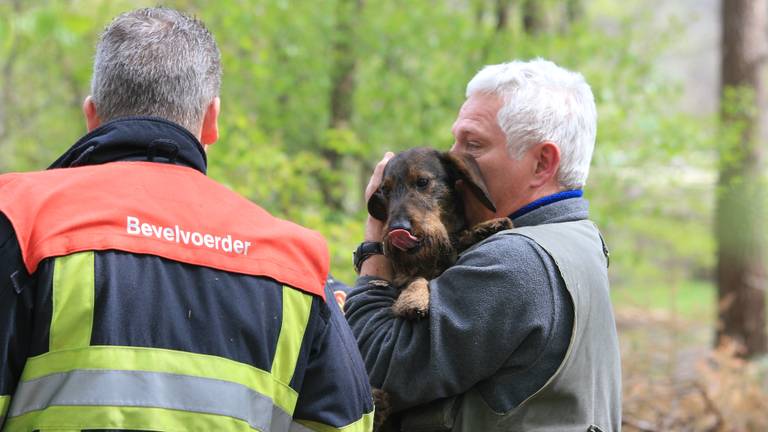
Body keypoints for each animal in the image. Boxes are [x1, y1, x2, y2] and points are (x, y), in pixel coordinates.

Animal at [364, 147, 510, 318]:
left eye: (422, 182)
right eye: (385, 190)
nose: (397, 228)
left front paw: (488, 226)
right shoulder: (402, 276)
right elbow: (417, 278)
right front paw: (414, 298)